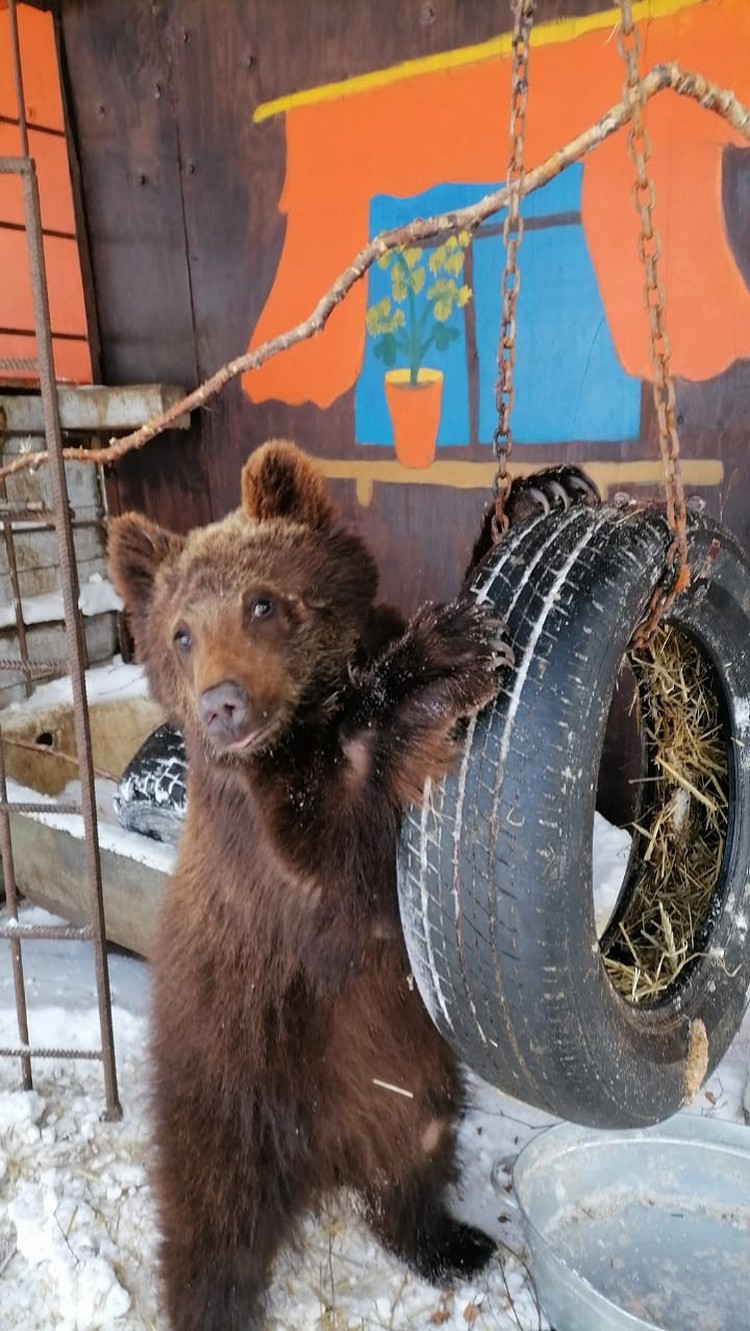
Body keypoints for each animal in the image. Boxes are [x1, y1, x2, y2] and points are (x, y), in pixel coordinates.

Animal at [107, 444, 516, 1331]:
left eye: (262, 600)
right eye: (181, 633)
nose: (224, 704)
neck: (296, 729)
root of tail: (323, 1159)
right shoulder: (268, 847)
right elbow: (328, 849)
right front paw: (444, 651)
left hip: (412, 1084)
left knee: (414, 1165)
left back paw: (453, 1243)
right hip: (231, 1075)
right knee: (212, 1219)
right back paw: (212, 1303)